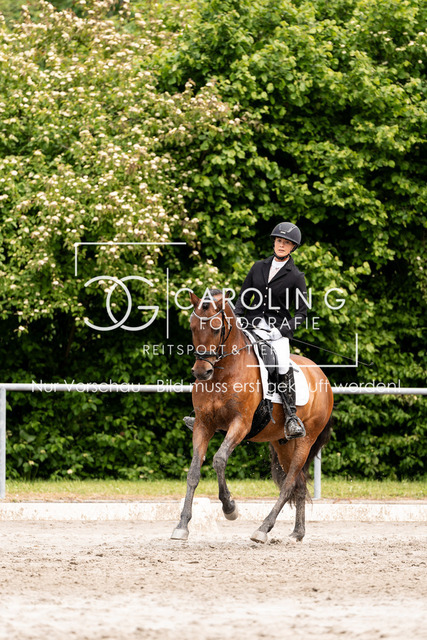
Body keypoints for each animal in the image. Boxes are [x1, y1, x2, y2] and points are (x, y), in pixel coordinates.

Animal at [171, 289, 334, 543]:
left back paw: (263, 529)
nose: (201, 372)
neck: (223, 373)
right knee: (298, 483)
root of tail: (321, 374)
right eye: (192, 327)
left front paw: (230, 508)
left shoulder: (241, 424)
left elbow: (219, 460)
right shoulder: (203, 425)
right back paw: (297, 533)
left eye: (216, 329)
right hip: (283, 443)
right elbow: (193, 472)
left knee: (289, 484)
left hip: (306, 440)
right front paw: (182, 526)